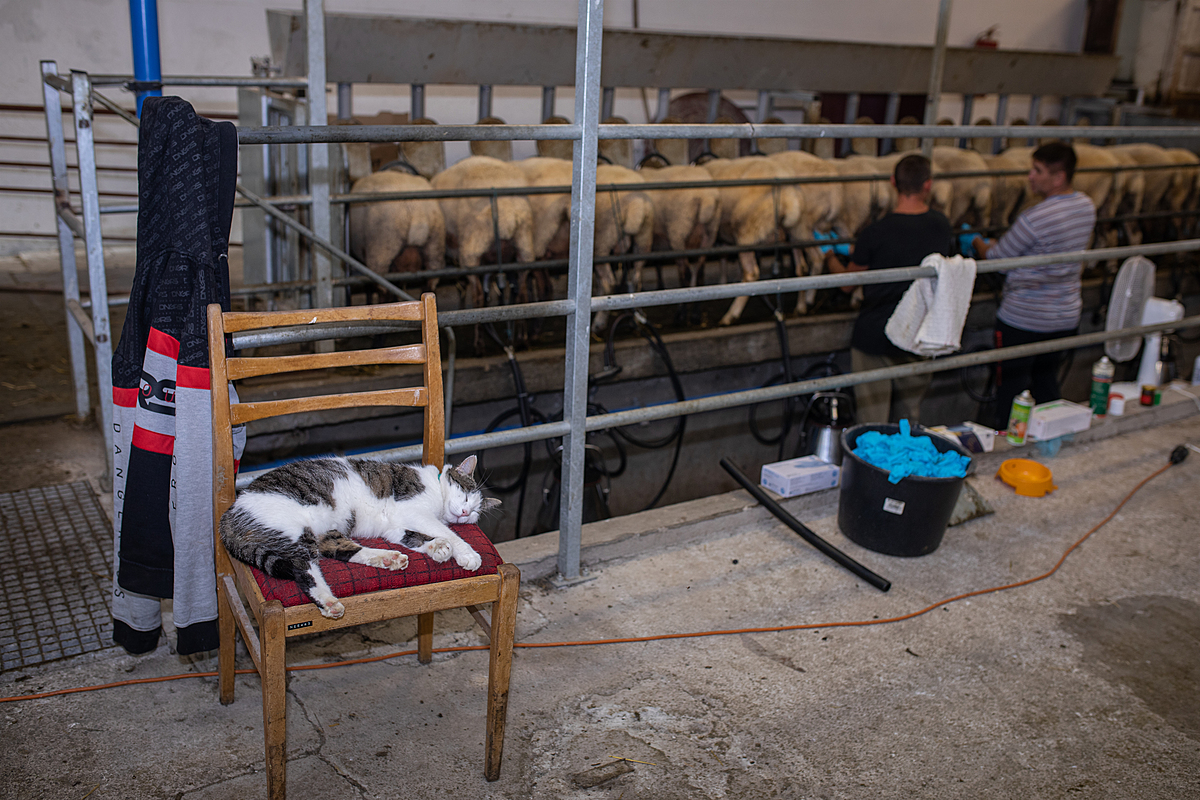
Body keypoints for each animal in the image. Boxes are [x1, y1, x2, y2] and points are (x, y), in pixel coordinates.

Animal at [222, 455, 501, 618]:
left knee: (338, 549)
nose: (465, 513)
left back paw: (388, 559)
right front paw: (467, 553)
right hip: (292, 531)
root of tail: (228, 517)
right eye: (466, 496)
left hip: (323, 532)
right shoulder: (412, 509)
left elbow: (414, 536)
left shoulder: (395, 526)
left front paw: (437, 549)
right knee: (303, 567)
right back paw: (328, 602)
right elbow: (448, 532)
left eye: (476, 511)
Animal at [700, 155, 801, 326]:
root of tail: (787, 197)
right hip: (797, 231)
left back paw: (730, 315)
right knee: (805, 266)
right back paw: (801, 306)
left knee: (751, 273)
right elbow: (722, 258)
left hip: (746, 232)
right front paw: (722, 281)